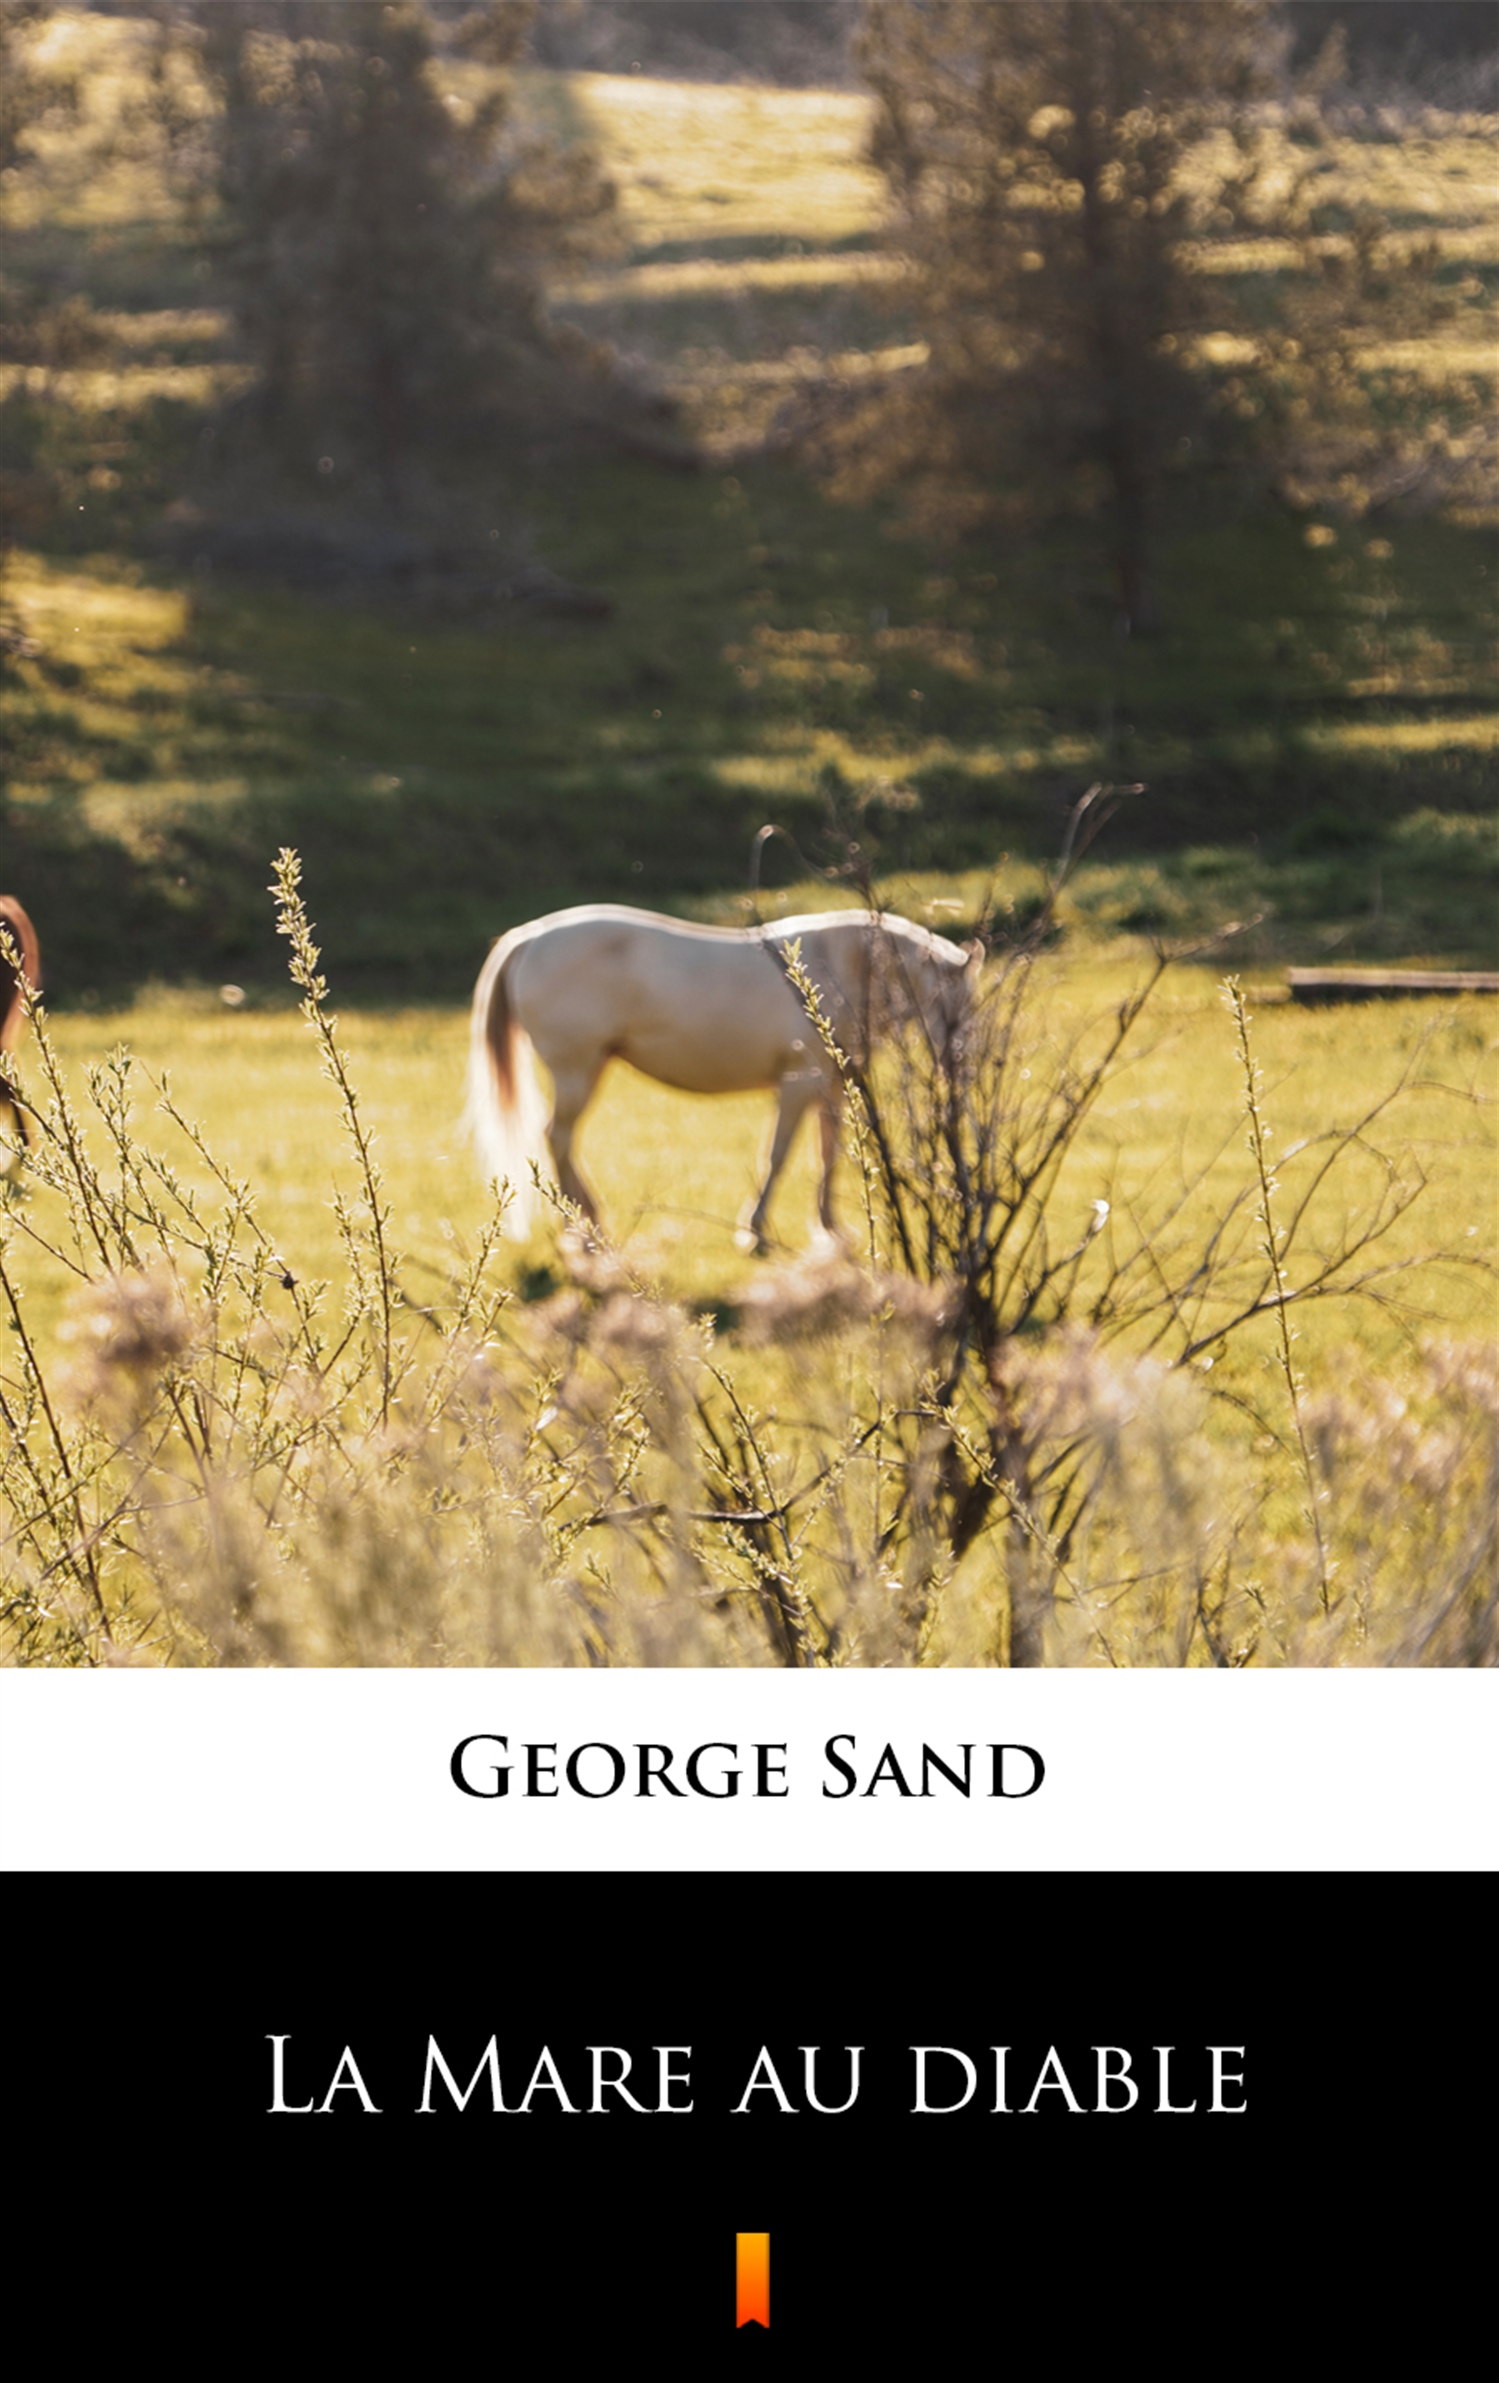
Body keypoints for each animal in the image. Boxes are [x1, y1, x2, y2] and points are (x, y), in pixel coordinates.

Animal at [466, 903, 981, 1248]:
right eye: (948, 1004)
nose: (961, 1067)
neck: (838, 967)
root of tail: (528, 938)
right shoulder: (799, 1083)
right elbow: (777, 1155)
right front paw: (756, 1231)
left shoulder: (833, 1087)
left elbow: (829, 1153)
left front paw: (830, 1227)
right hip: (577, 1070)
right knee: (557, 1136)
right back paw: (583, 1230)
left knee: (561, 1139)